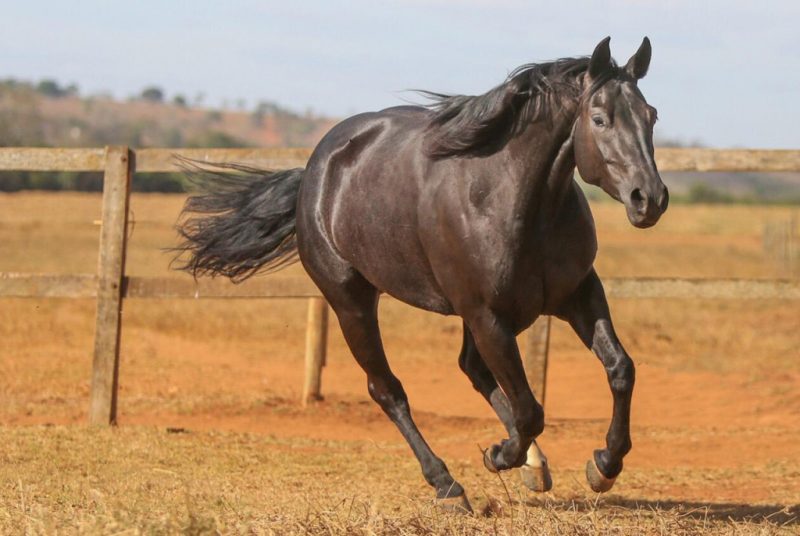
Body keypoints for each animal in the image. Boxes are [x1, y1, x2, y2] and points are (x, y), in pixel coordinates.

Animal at [173, 36, 668, 512]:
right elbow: (530, 409)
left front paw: (603, 465)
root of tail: (313, 175)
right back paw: (450, 486)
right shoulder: (488, 315)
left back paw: (532, 466)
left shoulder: (576, 294)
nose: (650, 199)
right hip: (351, 301)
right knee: (387, 389)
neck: (513, 200)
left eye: (652, 116)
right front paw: (499, 456)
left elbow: (620, 369)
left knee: (473, 370)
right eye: (599, 119)